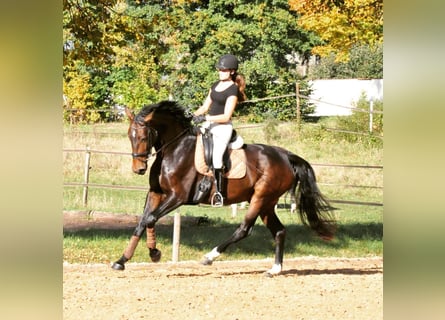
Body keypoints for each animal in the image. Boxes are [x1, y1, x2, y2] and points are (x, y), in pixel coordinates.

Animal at [112, 100, 334, 276]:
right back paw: (275, 269)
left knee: (244, 229)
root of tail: (286, 156)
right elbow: (142, 222)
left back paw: (209, 257)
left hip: (260, 198)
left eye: (143, 137)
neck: (174, 149)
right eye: (129, 136)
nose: (139, 169)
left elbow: (150, 218)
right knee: (279, 231)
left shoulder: (177, 196)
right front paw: (122, 261)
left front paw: (154, 253)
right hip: (267, 203)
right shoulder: (156, 193)